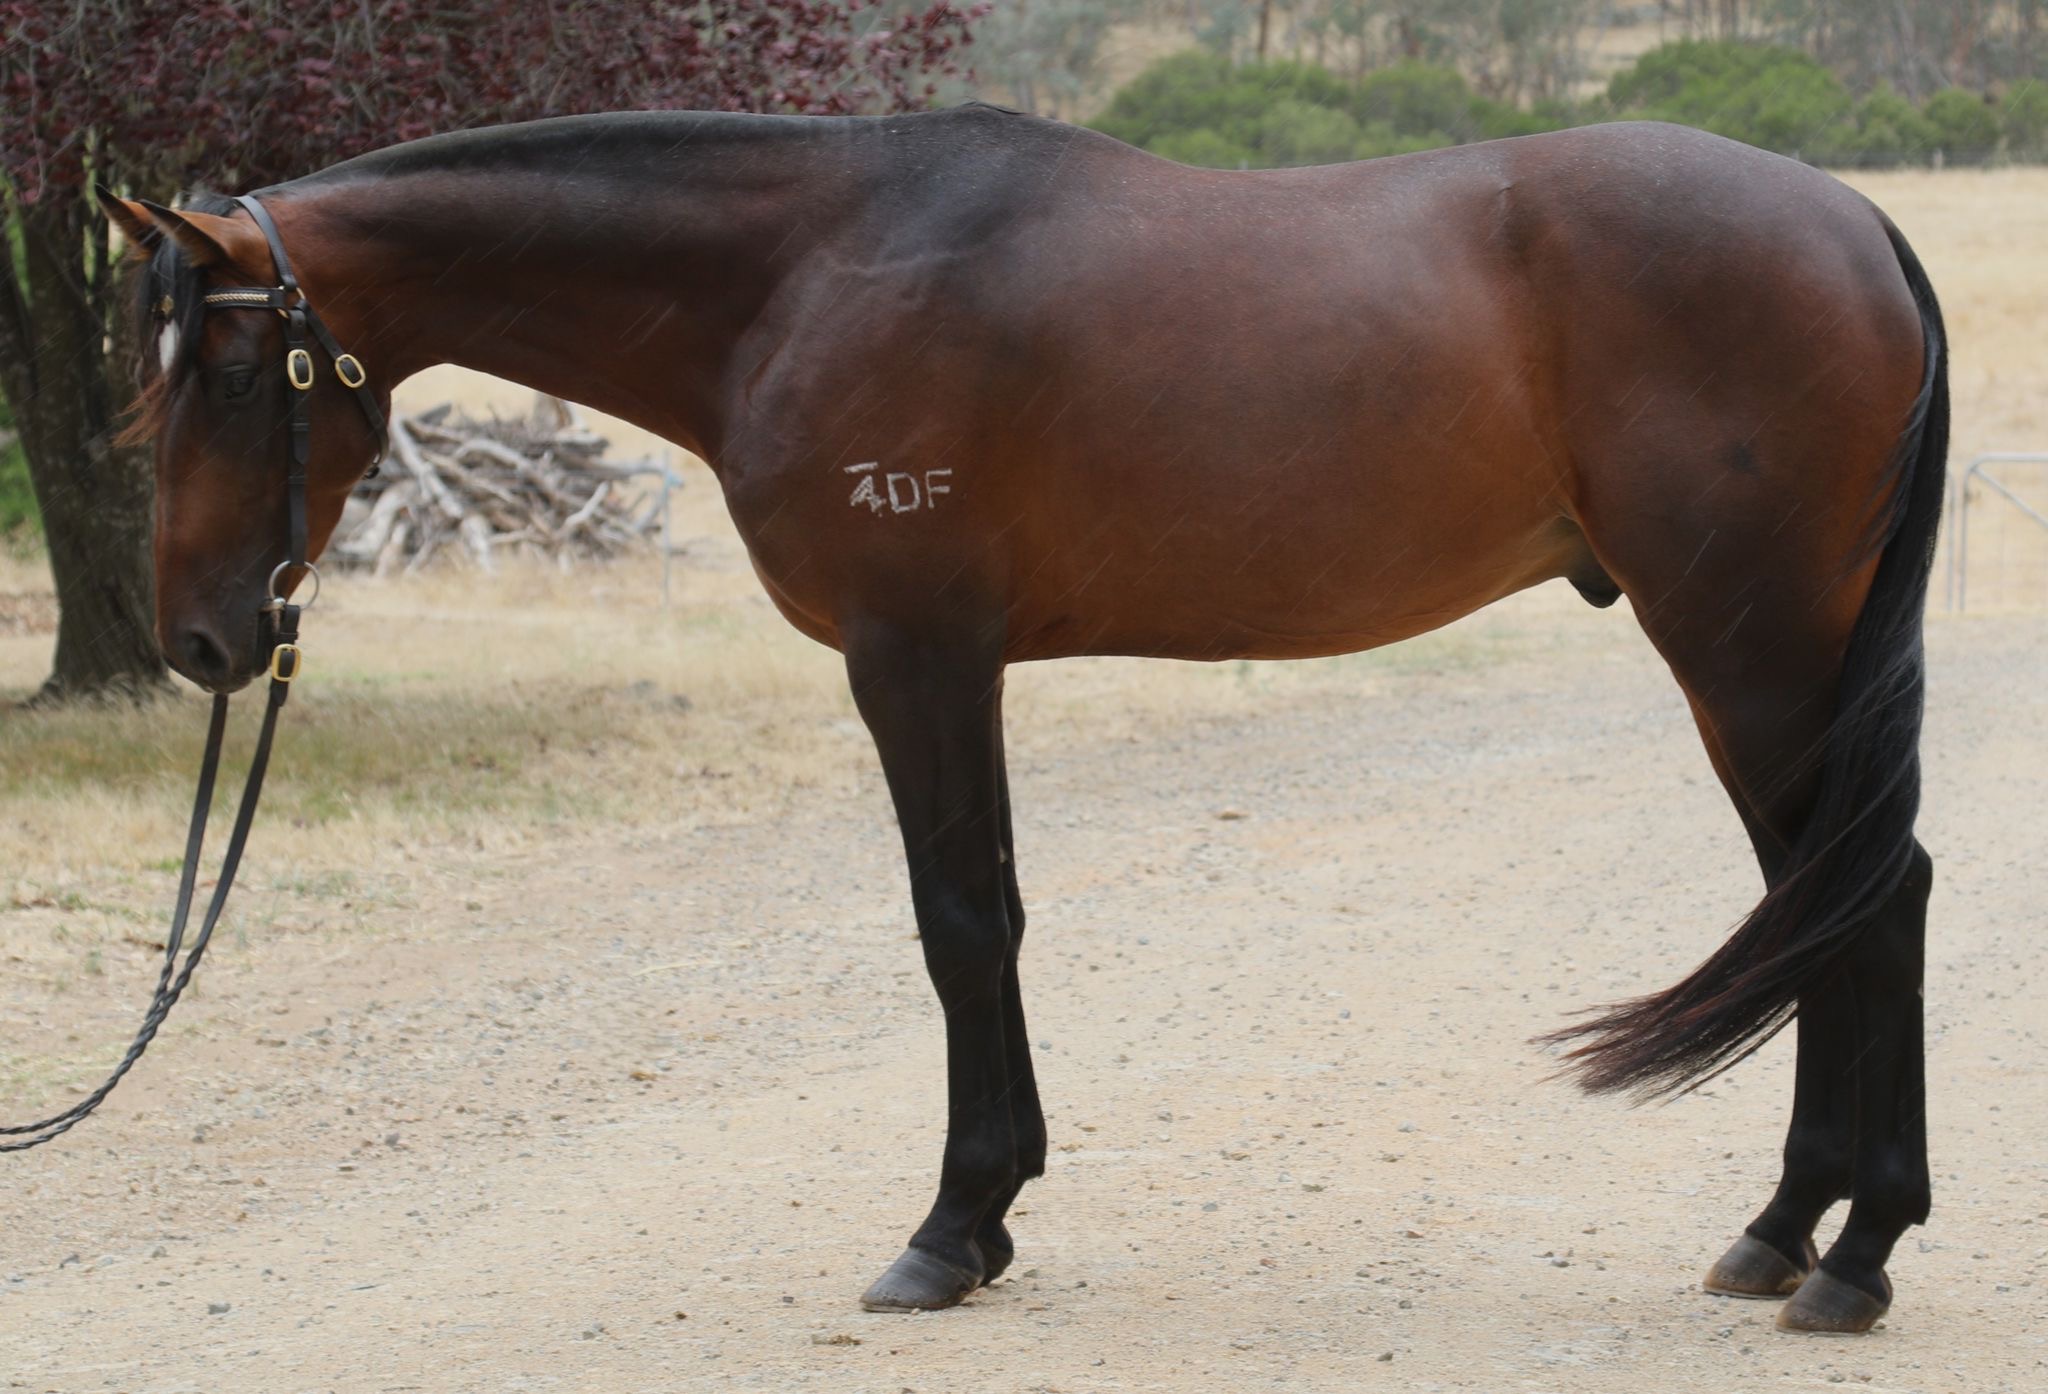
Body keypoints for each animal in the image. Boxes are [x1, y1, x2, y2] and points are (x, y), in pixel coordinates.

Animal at [99, 105, 1947, 1335]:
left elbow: (959, 922)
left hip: (1747, 644)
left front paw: (949, 1221)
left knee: (1867, 894)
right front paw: (986, 1218)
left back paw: (1853, 1254)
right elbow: (982, 912)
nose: (198, 635)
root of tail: (1854, 221)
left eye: (230, 371)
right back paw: (1790, 1229)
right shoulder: (952, 663)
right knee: (1827, 896)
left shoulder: (913, 654)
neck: (803, 270)